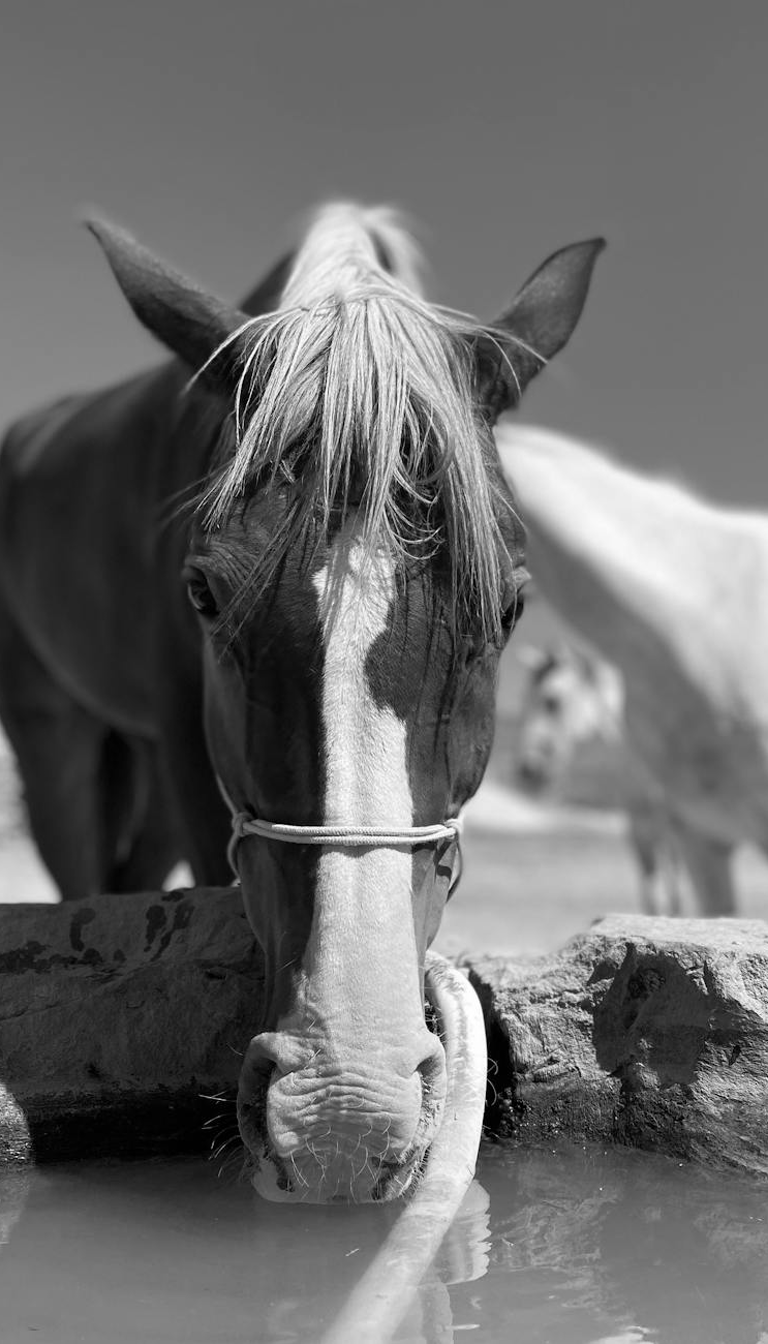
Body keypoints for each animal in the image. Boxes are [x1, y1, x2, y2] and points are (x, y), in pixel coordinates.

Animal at [516, 643, 684, 915]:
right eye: (522, 700)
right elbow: (651, 891)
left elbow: (674, 889)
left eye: (551, 701)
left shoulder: (675, 825)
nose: (528, 769)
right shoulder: (638, 820)